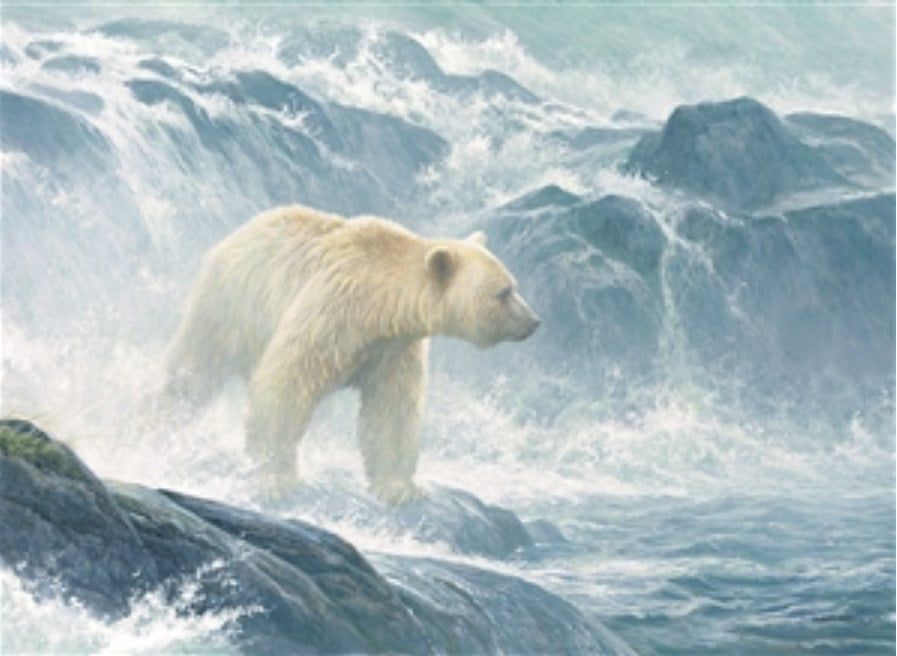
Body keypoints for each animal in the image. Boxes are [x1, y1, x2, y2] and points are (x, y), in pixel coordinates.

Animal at [164, 204, 540, 504]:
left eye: (514, 285)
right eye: (503, 292)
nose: (533, 322)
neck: (381, 307)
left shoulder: (393, 349)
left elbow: (392, 411)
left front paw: (400, 487)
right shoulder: (333, 313)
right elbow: (286, 384)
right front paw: (276, 476)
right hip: (229, 306)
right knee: (192, 370)